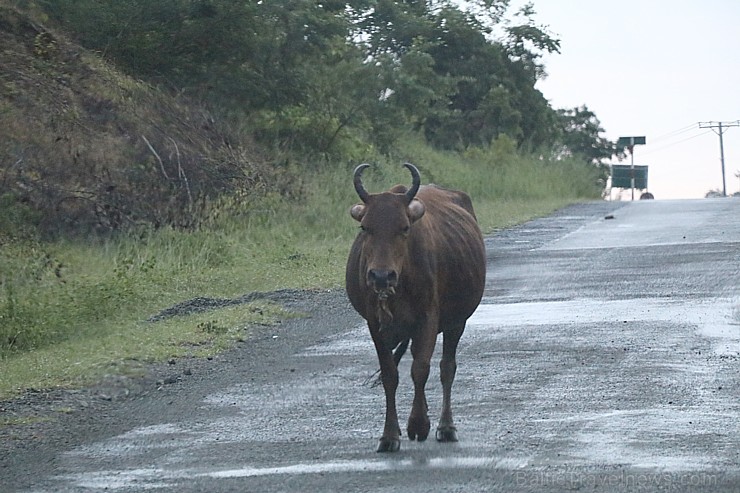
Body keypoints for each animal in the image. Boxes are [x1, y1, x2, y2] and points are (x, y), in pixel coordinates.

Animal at [346, 163, 488, 452]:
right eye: (365, 227)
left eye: (404, 227)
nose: (381, 276)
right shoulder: (375, 324)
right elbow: (390, 374)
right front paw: (389, 435)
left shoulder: (428, 319)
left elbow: (420, 369)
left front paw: (419, 424)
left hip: (457, 322)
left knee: (447, 367)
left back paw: (446, 426)